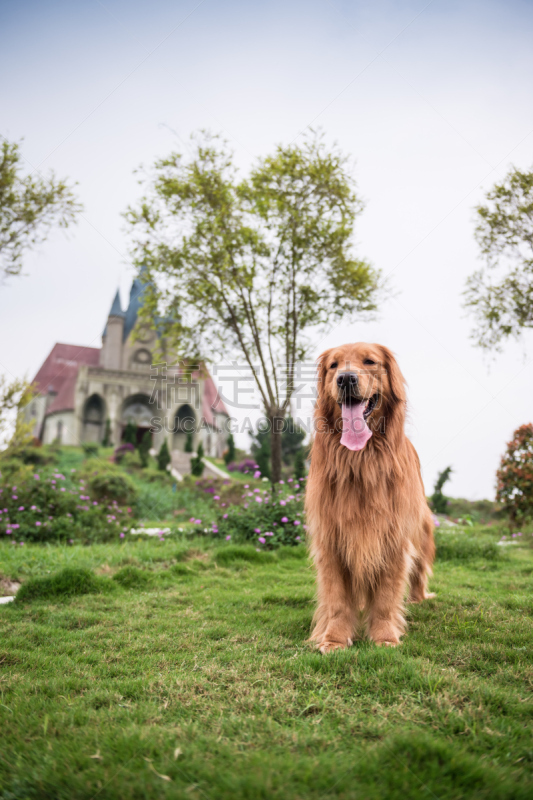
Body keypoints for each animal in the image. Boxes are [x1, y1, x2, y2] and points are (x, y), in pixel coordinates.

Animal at [306, 342, 434, 648]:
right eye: (334, 365)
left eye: (370, 361)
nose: (345, 379)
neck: (360, 460)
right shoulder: (331, 539)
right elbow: (337, 599)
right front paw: (334, 639)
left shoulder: (393, 538)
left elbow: (386, 597)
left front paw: (385, 637)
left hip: (421, 531)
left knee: (419, 571)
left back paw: (419, 598)